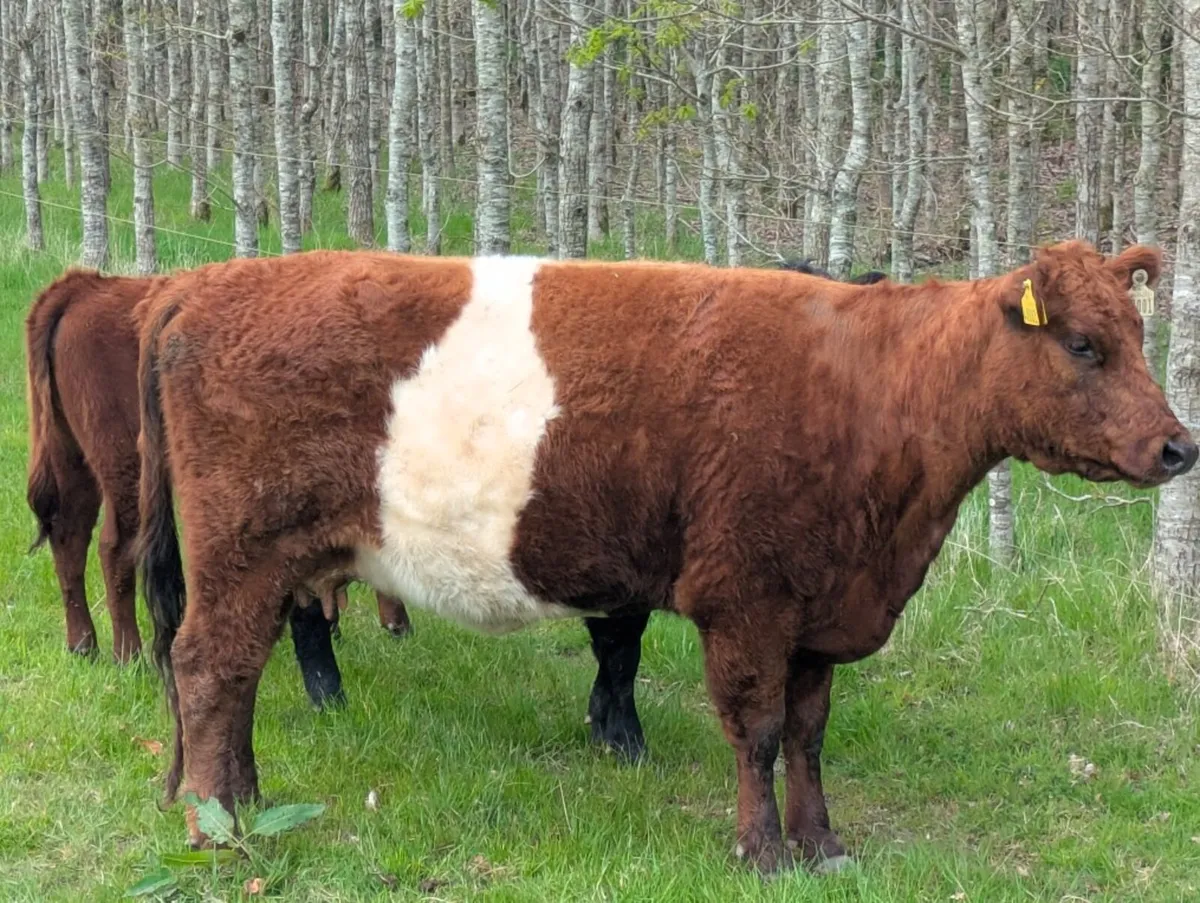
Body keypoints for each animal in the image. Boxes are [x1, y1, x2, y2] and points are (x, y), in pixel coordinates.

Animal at [24, 269, 411, 707]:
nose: (401, 627)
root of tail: (87, 286)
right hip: (124, 466)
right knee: (115, 547)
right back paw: (129, 655)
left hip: (73, 458)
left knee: (69, 539)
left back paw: (84, 645)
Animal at [134, 241, 1194, 872]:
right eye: (1086, 344)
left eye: (1142, 334)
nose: (1178, 446)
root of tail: (204, 282)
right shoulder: (748, 595)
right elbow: (756, 729)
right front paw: (761, 852)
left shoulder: (819, 609)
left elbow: (808, 732)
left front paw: (822, 843)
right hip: (243, 543)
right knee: (209, 664)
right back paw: (220, 823)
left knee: (233, 670)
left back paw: (241, 798)